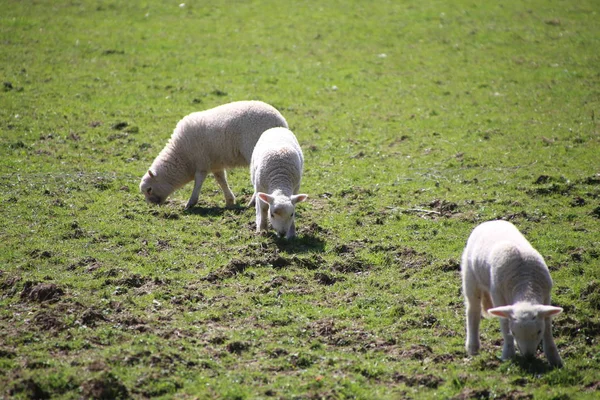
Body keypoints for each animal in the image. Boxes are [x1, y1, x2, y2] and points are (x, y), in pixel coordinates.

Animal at [142, 101, 290, 209]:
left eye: (149, 189)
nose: (152, 206)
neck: (182, 157)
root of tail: (280, 122)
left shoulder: (201, 162)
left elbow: (198, 181)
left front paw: (191, 202)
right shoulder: (215, 164)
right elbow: (221, 180)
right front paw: (229, 200)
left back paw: (253, 202)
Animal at [462, 220, 564, 368]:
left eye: (539, 331)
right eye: (514, 332)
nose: (528, 357)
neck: (525, 284)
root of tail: (491, 221)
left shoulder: (546, 295)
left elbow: (548, 326)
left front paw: (555, 358)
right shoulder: (497, 295)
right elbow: (505, 324)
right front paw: (508, 354)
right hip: (470, 276)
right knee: (472, 310)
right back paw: (473, 347)